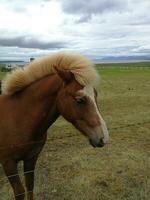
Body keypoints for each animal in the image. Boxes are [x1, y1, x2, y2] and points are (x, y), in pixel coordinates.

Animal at [0, 52, 108, 199]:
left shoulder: (31, 158)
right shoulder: (8, 163)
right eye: (79, 100)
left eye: (96, 94)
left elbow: (30, 186)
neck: (18, 117)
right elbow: (20, 192)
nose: (103, 138)